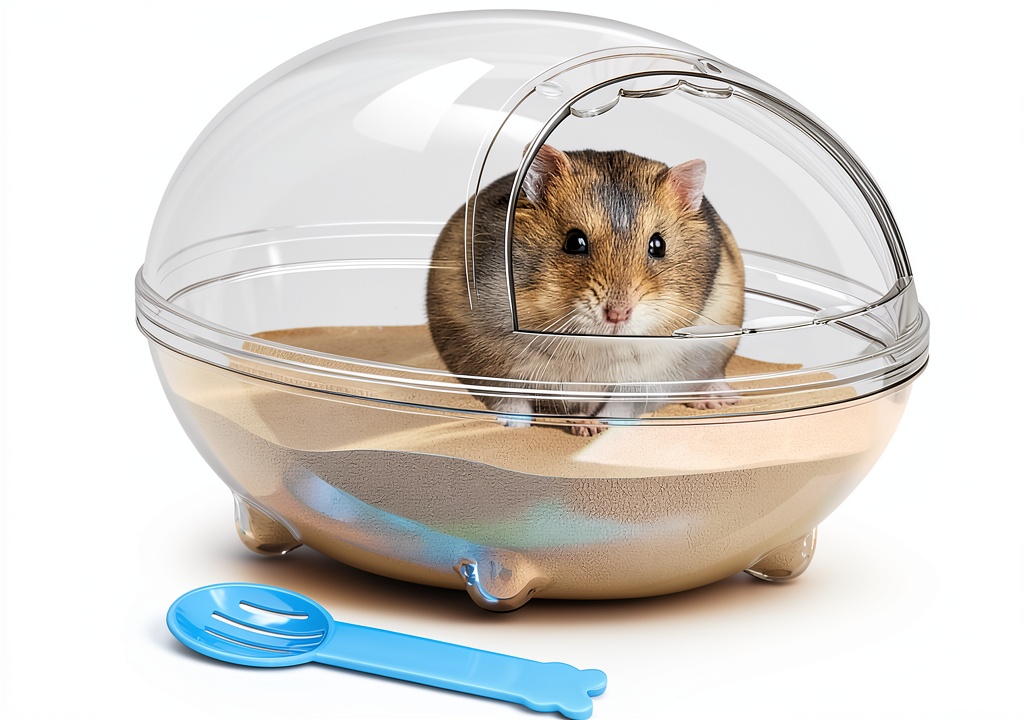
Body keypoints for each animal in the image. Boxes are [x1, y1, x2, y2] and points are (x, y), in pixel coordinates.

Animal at [426, 145, 744, 435]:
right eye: (574, 241)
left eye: (658, 245)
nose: (618, 314)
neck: (596, 346)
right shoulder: (484, 360)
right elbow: (509, 399)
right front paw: (516, 425)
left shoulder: (653, 379)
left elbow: (621, 405)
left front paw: (603, 426)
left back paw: (719, 399)